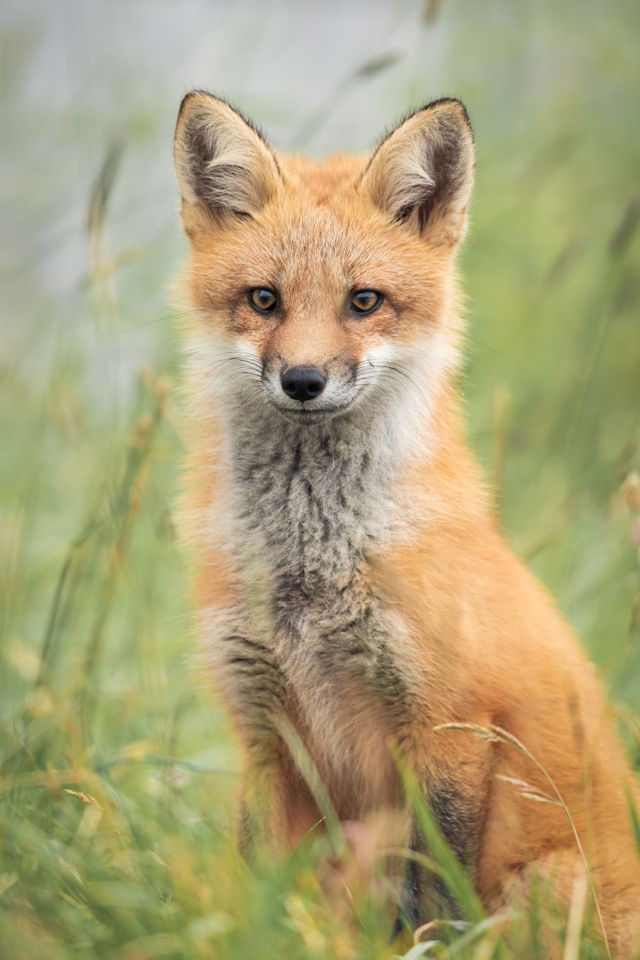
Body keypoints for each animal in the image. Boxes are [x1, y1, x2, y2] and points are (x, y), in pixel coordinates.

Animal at [173, 90, 640, 955]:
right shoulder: (264, 731)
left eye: (364, 301)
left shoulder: (447, 724)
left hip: (549, 884)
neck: (311, 575)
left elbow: (434, 895)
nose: (304, 380)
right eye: (263, 299)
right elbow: (260, 886)